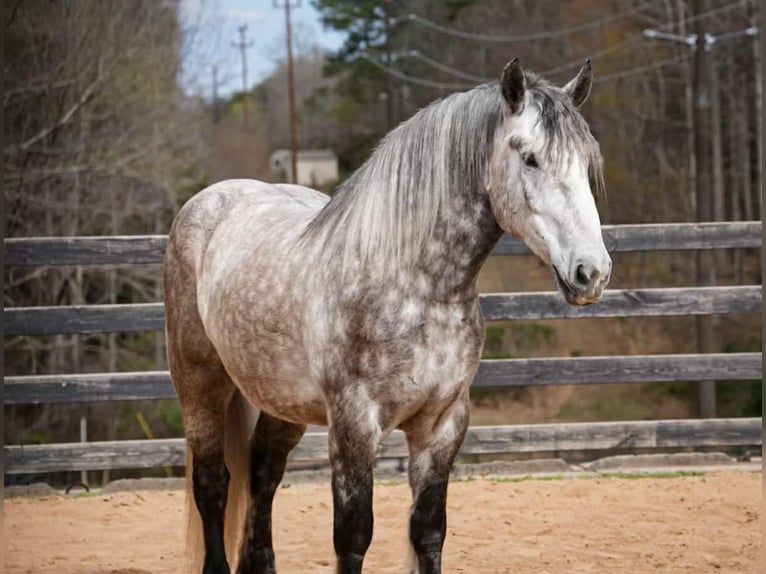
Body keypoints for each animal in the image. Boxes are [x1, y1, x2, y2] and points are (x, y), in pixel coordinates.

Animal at [163, 57, 611, 574]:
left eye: (586, 163)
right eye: (530, 158)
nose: (591, 272)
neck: (417, 285)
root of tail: (209, 202)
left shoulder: (443, 425)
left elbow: (428, 531)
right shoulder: (355, 425)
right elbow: (354, 535)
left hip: (281, 399)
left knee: (263, 473)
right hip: (200, 385)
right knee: (213, 484)